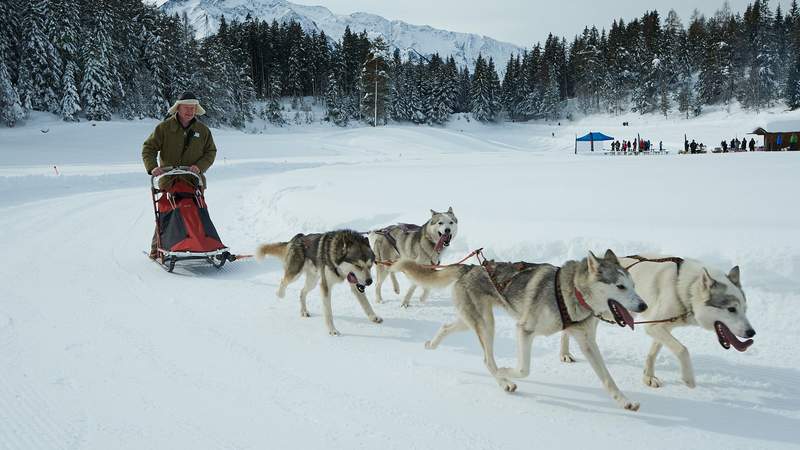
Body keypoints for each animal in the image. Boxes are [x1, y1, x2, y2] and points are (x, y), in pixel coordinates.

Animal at [394, 250, 648, 412]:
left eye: (634, 285)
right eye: (620, 286)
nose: (644, 305)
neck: (572, 293)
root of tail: (470, 268)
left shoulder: (587, 342)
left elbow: (607, 378)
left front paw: (624, 401)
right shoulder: (525, 330)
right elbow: (524, 369)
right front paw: (507, 371)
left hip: (472, 320)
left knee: (447, 326)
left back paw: (432, 344)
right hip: (486, 324)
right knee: (488, 360)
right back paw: (503, 380)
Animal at [560, 255, 752, 388]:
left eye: (745, 309)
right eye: (731, 309)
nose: (752, 333)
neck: (685, 289)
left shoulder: (660, 327)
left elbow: (653, 353)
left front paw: (648, 377)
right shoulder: (655, 327)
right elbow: (683, 350)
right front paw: (688, 379)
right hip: (604, 313)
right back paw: (564, 353)